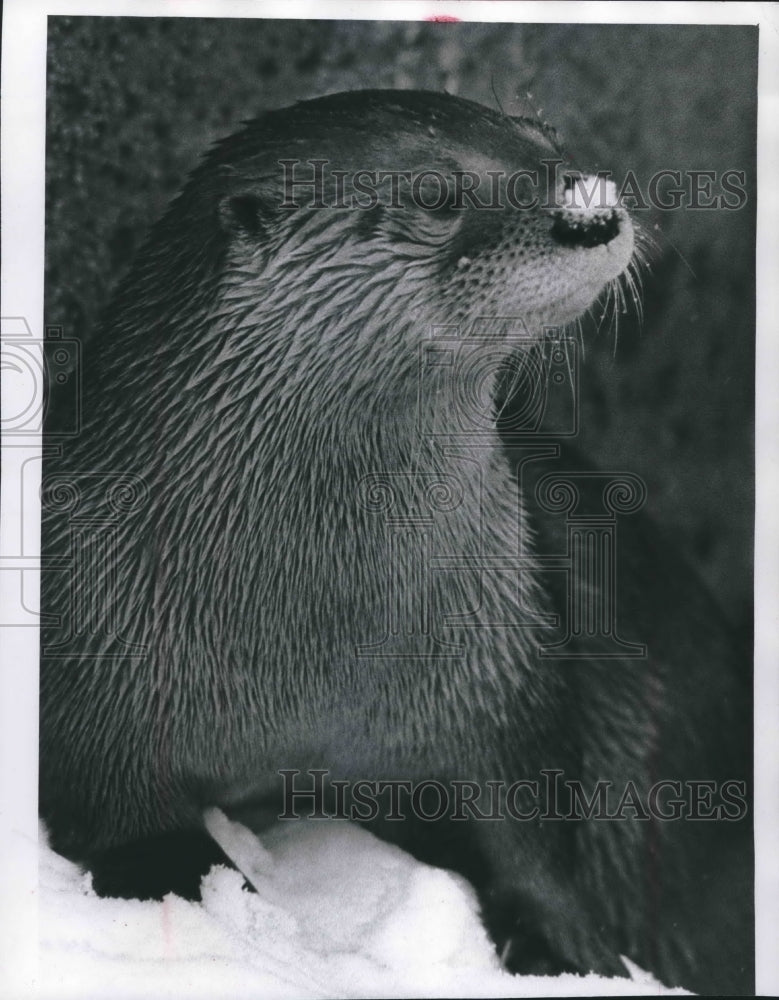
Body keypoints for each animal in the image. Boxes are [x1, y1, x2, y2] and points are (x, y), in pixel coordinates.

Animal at [39, 92, 752, 992]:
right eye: (435, 194)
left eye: (549, 145)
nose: (587, 211)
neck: (313, 641)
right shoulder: (91, 669)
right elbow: (134, 832)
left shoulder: (501, 660)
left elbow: (528, 826)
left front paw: (562, 947)